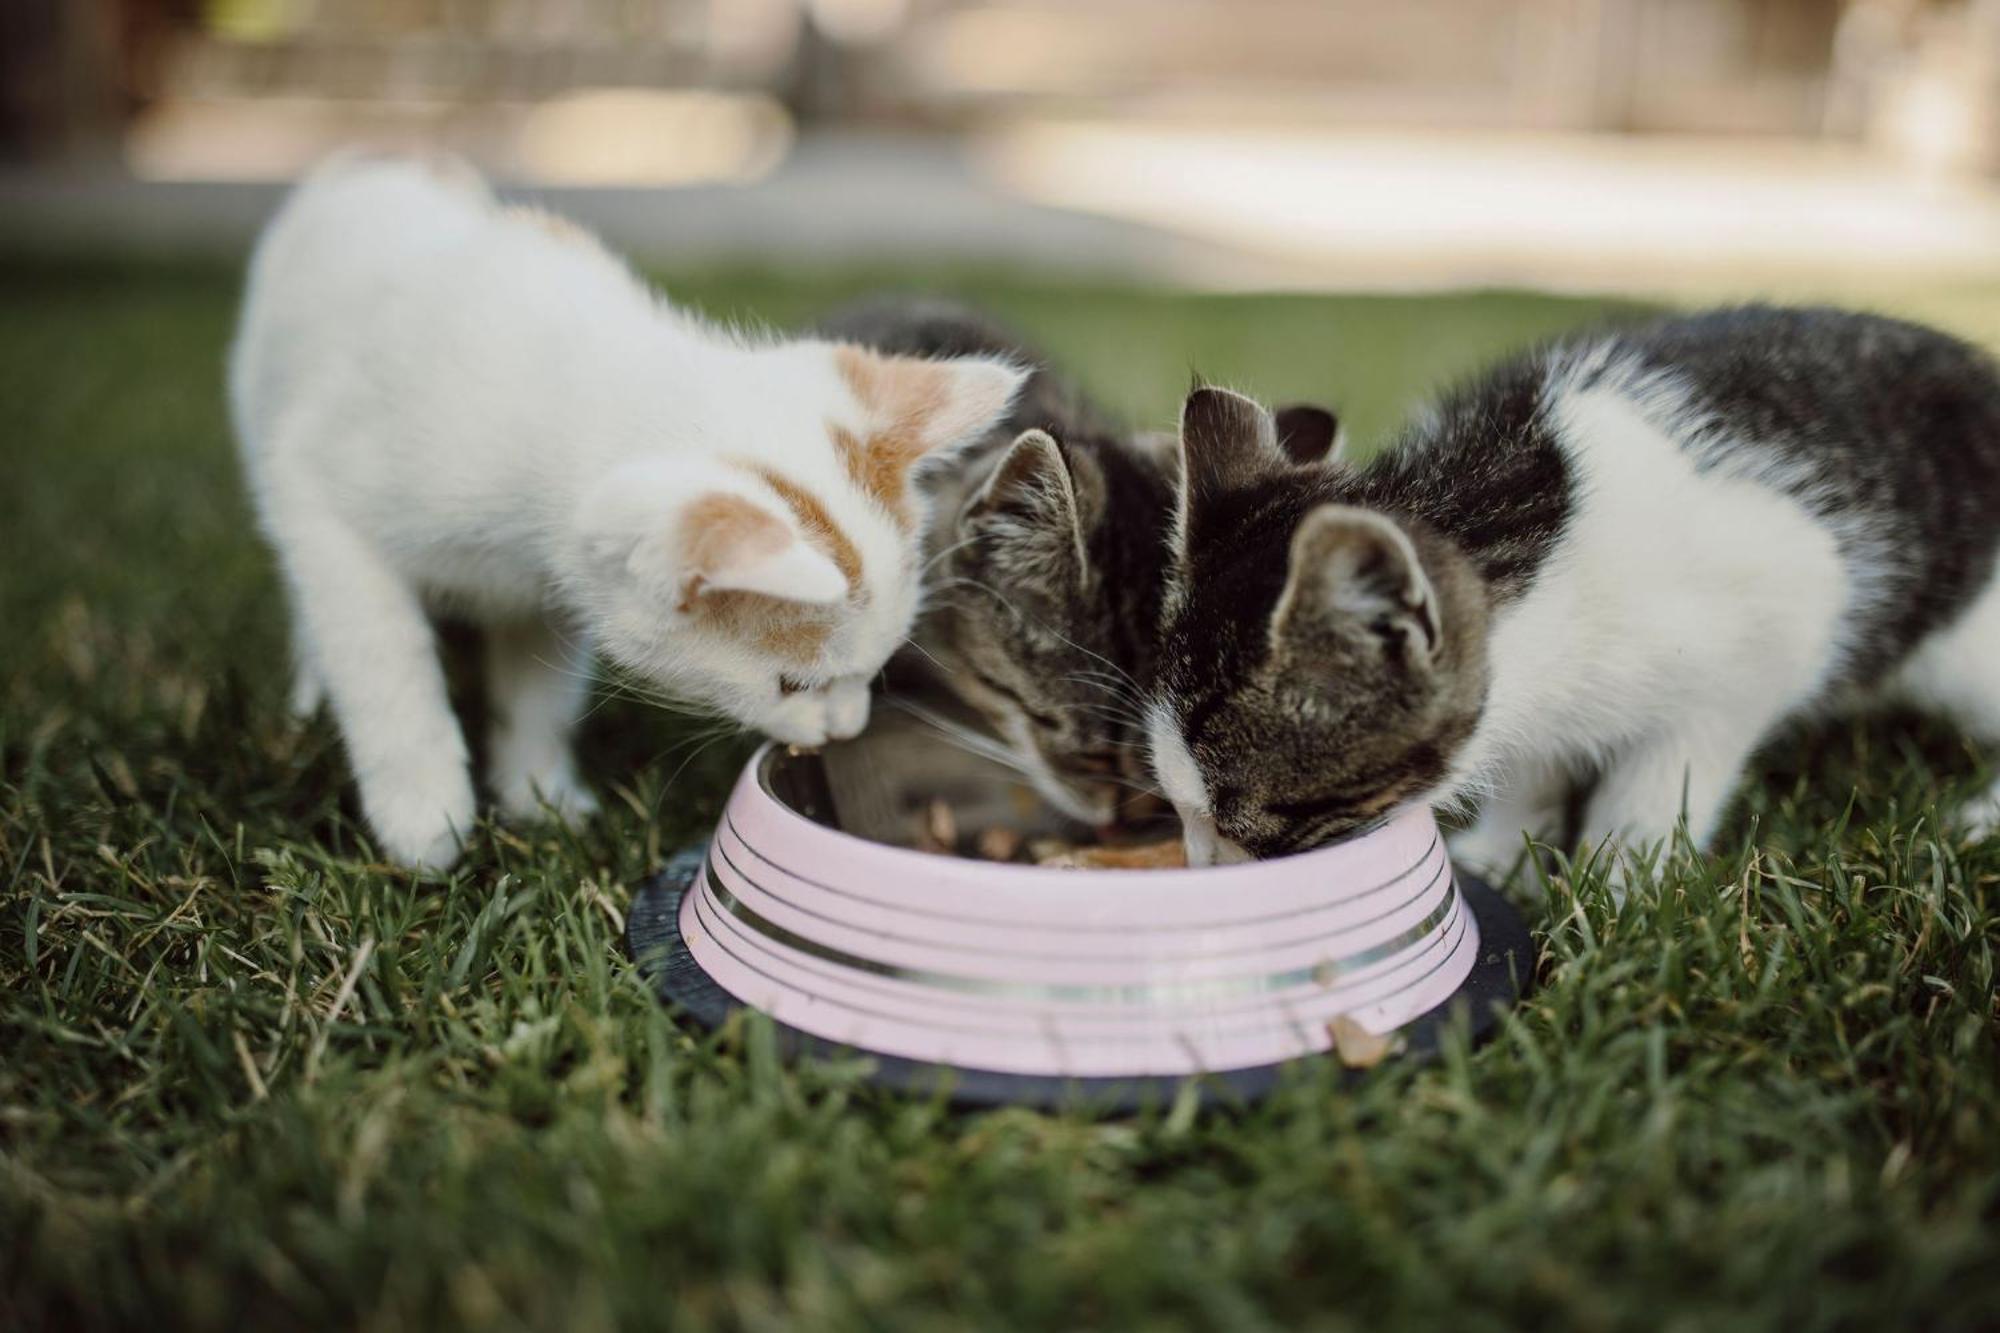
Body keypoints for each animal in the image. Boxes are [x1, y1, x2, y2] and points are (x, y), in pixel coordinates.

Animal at [227, 153, 1024, 860]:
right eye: (794, 684)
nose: (845, 730)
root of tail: (380, 156)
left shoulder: (555, 586)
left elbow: (540, 689)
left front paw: (540, 795)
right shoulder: (319, 485)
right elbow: (381, 656)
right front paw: (425, 815)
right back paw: (308, 699)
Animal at [1144, 306, 2000, 876]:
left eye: (1242, 815)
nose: (1196, 867)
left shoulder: (1780, 621)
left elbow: (1670, 769)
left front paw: (1623, 887)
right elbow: (1533, 763)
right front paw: (1502, 854)